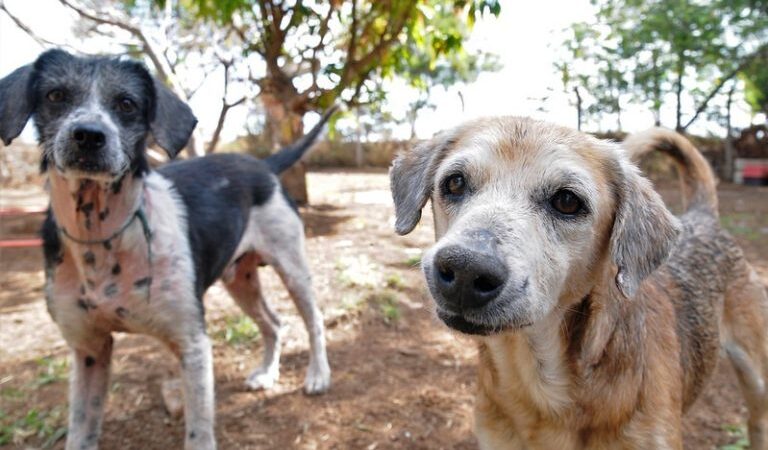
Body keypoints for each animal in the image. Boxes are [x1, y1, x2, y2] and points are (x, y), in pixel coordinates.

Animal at [0, 50, 330, 450]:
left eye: (127, 103)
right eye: (55, 95)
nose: (89, 136)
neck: (103, 236)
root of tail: (263, 164)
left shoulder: (193, 345)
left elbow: (199, 433)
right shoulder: (89, 349)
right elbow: (80, 431)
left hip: (292, 267)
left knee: (313, 320)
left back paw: (318, 375)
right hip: (240, 280)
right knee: (274, 323)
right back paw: (267, 373)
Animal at [390, 117, 768, 450]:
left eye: (567, 201)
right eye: (454, 183)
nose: (466, 270)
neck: (540, 384)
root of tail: (703, 218)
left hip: (758, 383)